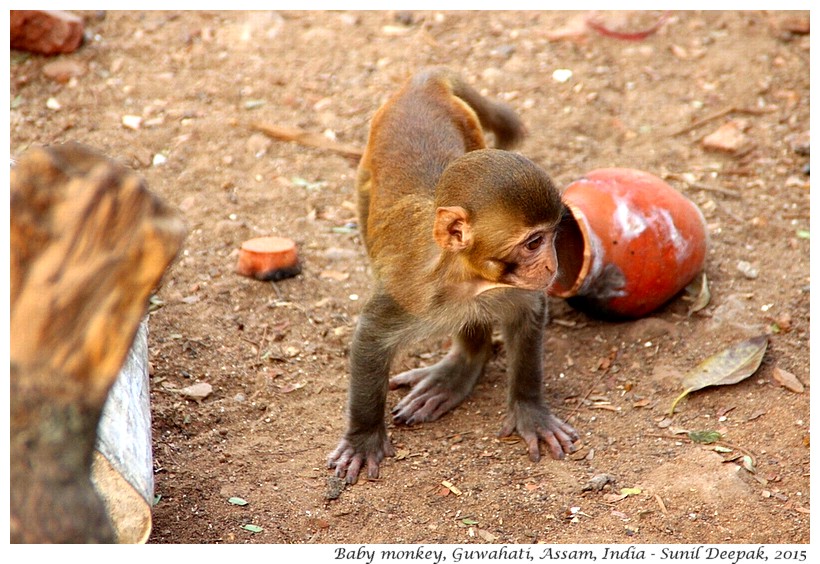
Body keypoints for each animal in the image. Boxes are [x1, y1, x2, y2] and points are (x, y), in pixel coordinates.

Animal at [326, 64, 576, 482]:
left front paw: (529, 409)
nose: (551, 265)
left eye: (553, 236)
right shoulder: (407, 290)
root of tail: (421, 84)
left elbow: (526, 316)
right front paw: (363, 436)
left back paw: (462, 366)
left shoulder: (512, 289)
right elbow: (371, 336)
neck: (468, 279)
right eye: (532, 243)